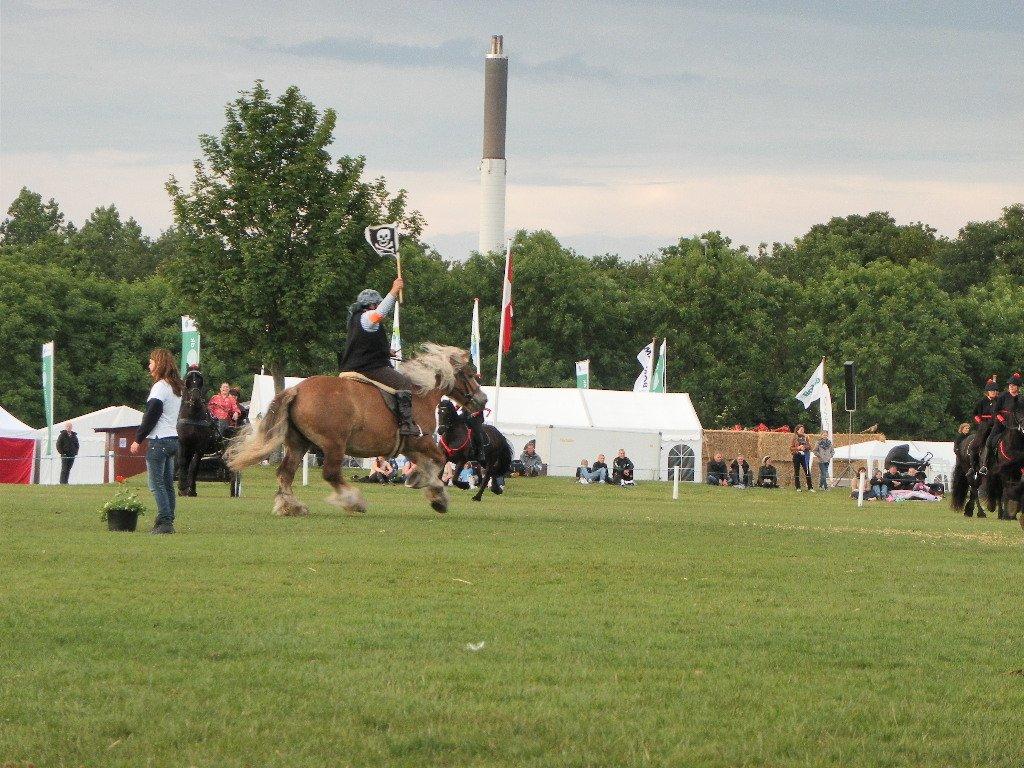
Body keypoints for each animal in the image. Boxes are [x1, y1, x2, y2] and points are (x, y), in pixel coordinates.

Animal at [227, 348, 487, 518]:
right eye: (470, 375)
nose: (482, 400)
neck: (420, 394)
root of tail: (297, 390)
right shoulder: (422, 442)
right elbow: (440, 460)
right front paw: (433, 492)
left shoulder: (410, 448)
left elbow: (430, 464)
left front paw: (426, 485)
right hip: (334, 445)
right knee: (331, 474)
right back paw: (353, 502)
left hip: (298, 444)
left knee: (285, 473)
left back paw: (290, 506)